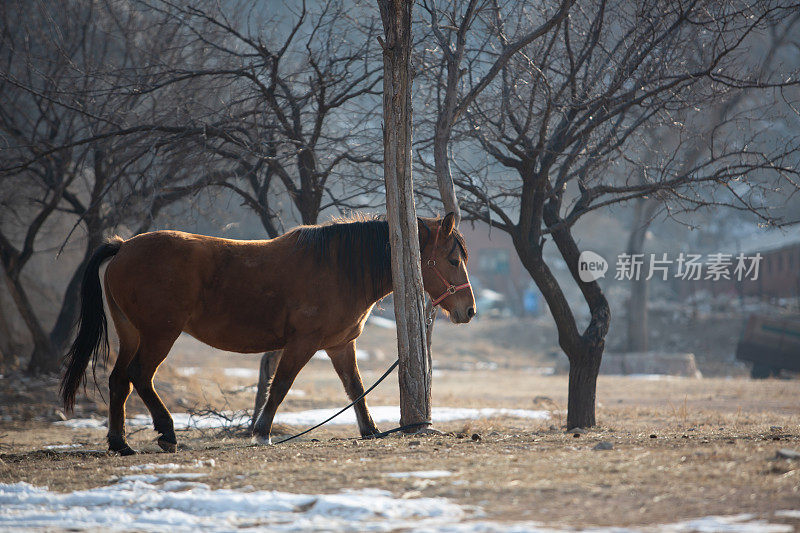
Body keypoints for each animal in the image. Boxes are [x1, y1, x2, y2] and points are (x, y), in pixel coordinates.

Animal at [61, 212, 476, 454]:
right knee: (140, 376)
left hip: (132, 333)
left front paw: (371, 430)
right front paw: (262, 432)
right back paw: (166, 433)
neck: (339, 267)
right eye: (453, 259)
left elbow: (355, 388)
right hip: (160, 334)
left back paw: (120, 443)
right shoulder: (303, 343)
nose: (468, 310)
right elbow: (281, 386)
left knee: (119, 381)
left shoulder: (340, 345)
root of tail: (123, 247)